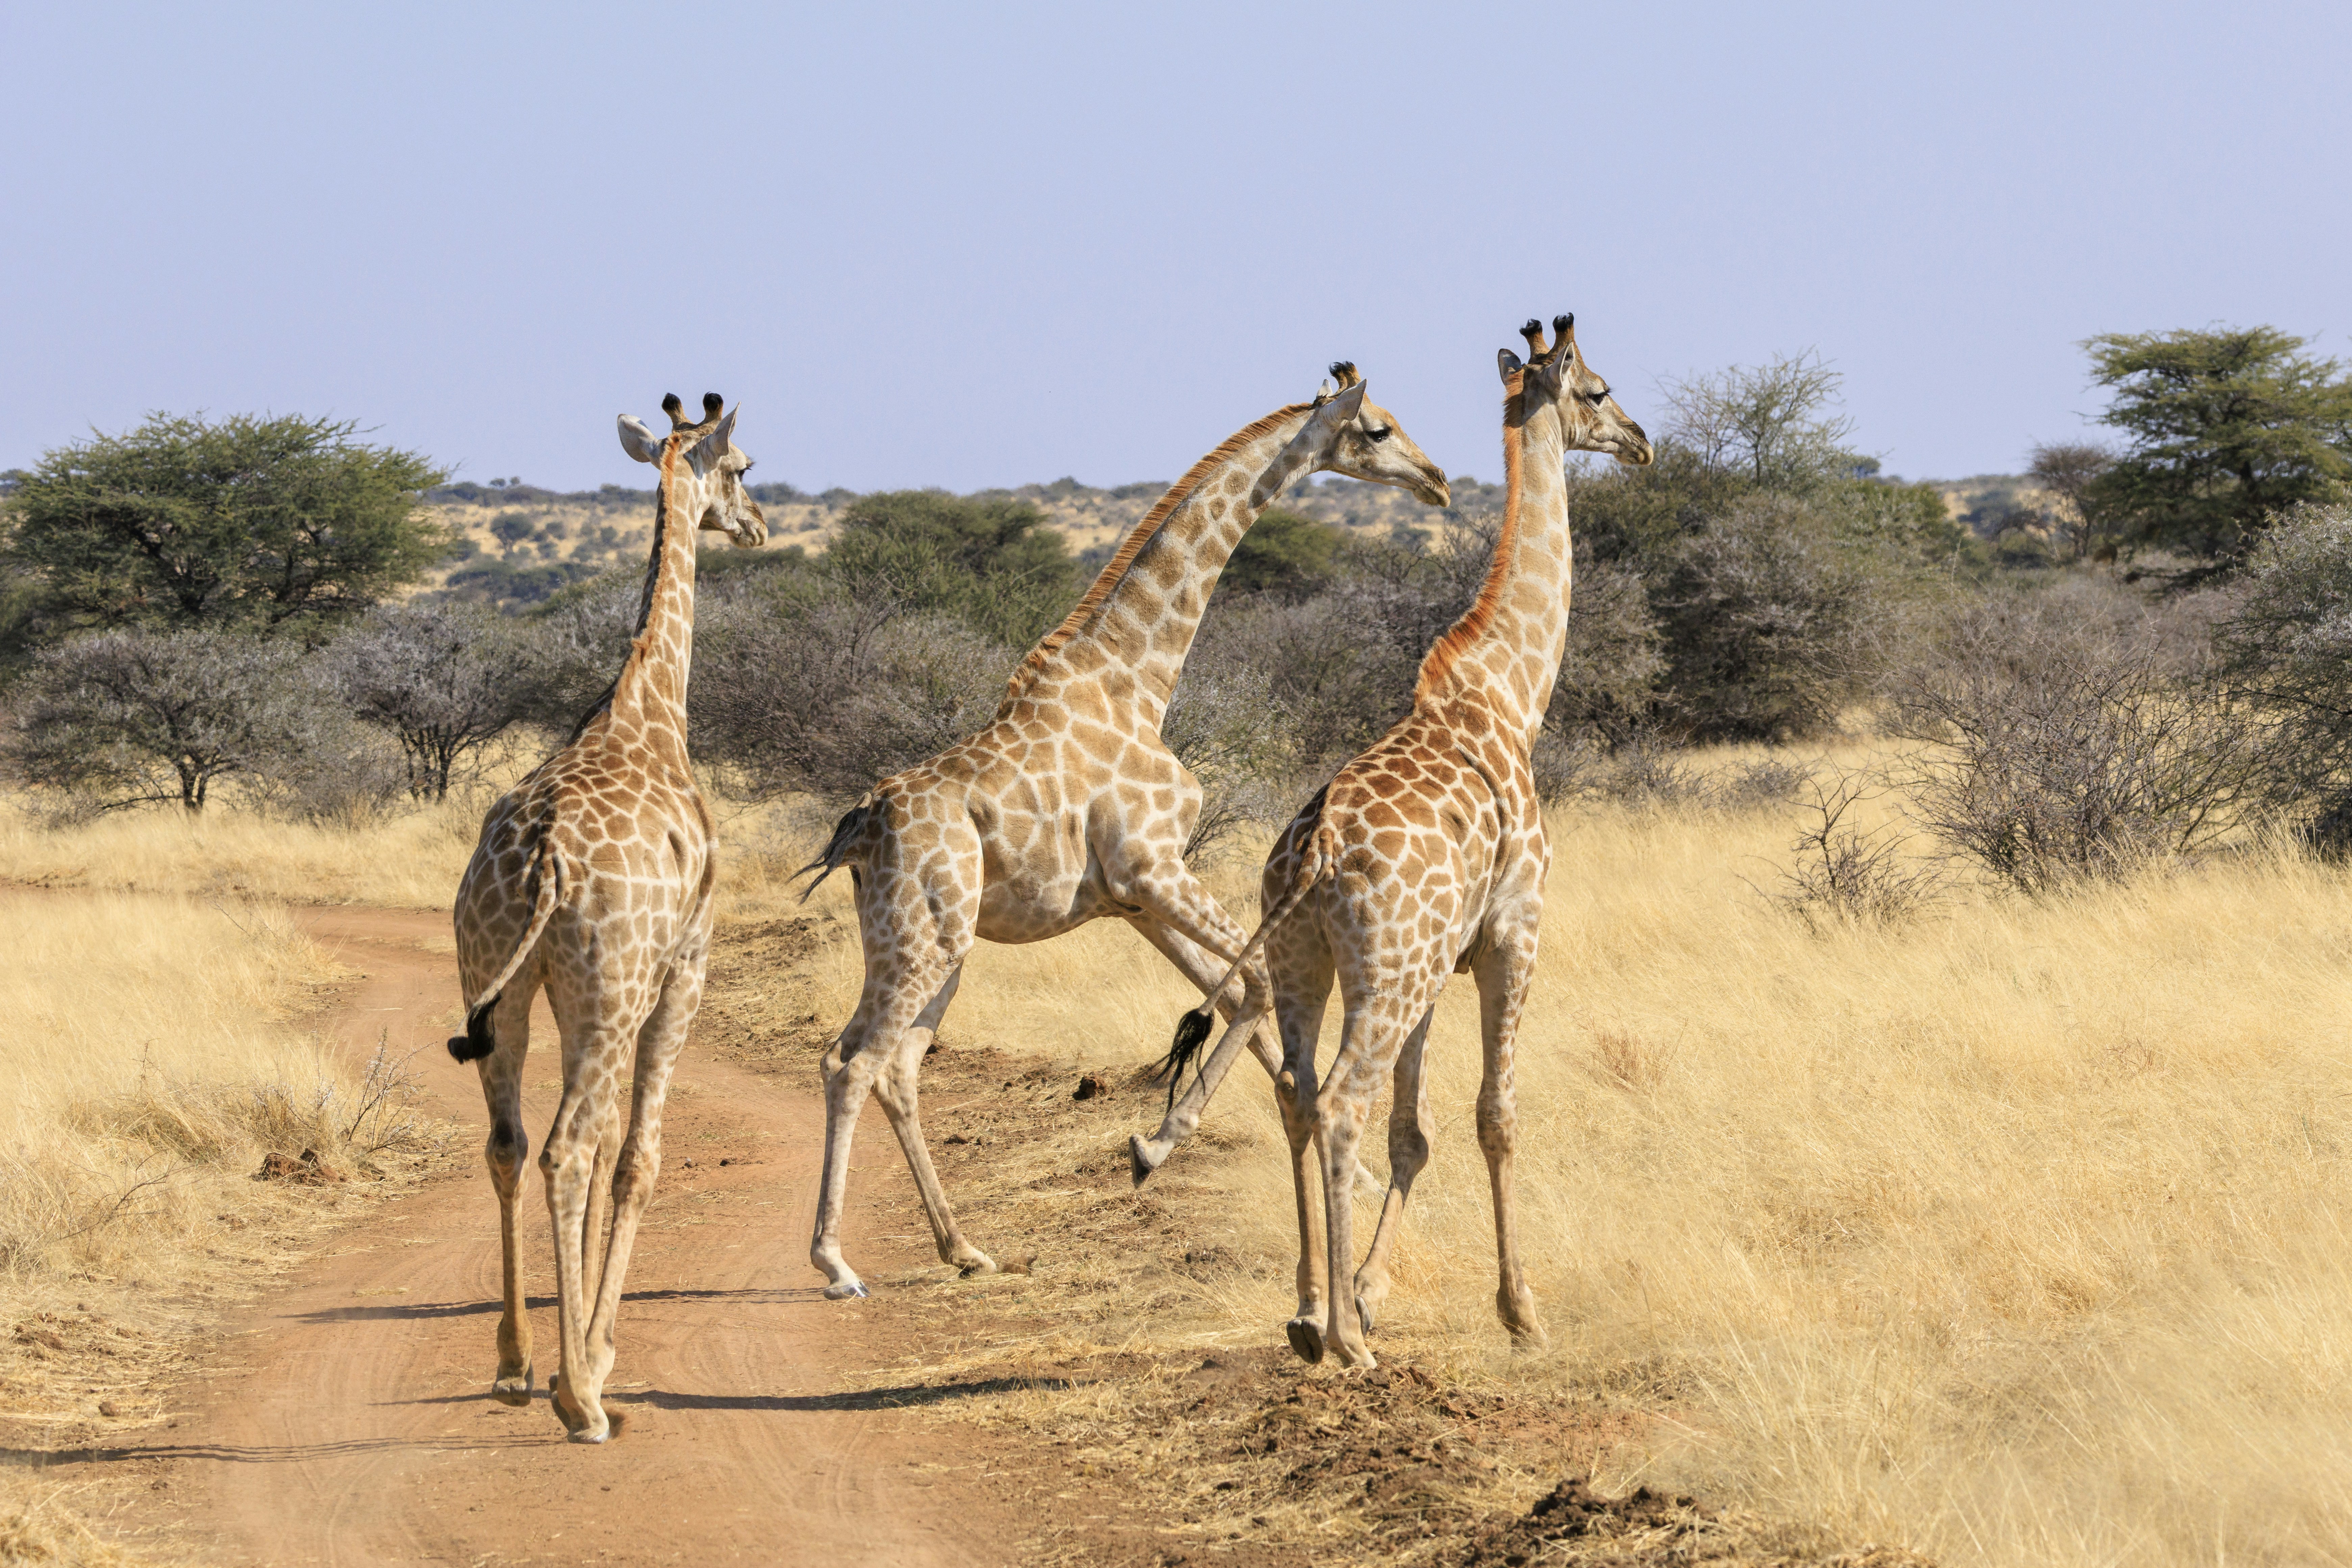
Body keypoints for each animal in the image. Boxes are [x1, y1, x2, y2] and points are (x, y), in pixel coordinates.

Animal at [447, 392, 765, 1443]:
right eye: (743, 467)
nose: (757, 526)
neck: (650, 709)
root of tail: (541, 860)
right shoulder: (683, 971)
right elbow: (639, 1158)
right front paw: (599, 1354)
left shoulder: (582, 993)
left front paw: (567, 1350)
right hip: (609, 986)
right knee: (568, 1148)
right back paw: (580, 1400)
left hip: (498, 989)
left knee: (512, 1144)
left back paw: (516, 1363)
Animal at [795, 365, 1450, 1304]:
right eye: (1378, 429)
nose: (1436, 481)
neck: (1138, 680)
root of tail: (863, 826)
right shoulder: (1156, 868)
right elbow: (1253, 988)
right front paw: (1154, 1145)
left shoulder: (1133, 899)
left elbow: (1241, 996)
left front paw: (1211, 1149)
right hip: (923, 937)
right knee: (849, 1063)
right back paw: (837, 1262)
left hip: (931, 941)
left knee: (896, 1067)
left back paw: (965, 1247)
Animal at [1133, 315, 1652, 1369]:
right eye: (1599, 390)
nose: (1643, 442)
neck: (1511, 691)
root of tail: (1316, 855)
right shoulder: (1511, 931)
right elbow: (1494, 1117)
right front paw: (1518, 1311)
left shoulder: (1435, 965)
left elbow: (1414, 1133)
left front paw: (1368, 1292)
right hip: (1385, 969)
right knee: (1339, 1100)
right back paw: (1343, 1343)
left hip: (1314, 961)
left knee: (1298, 1092)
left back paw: (1306, 1314)